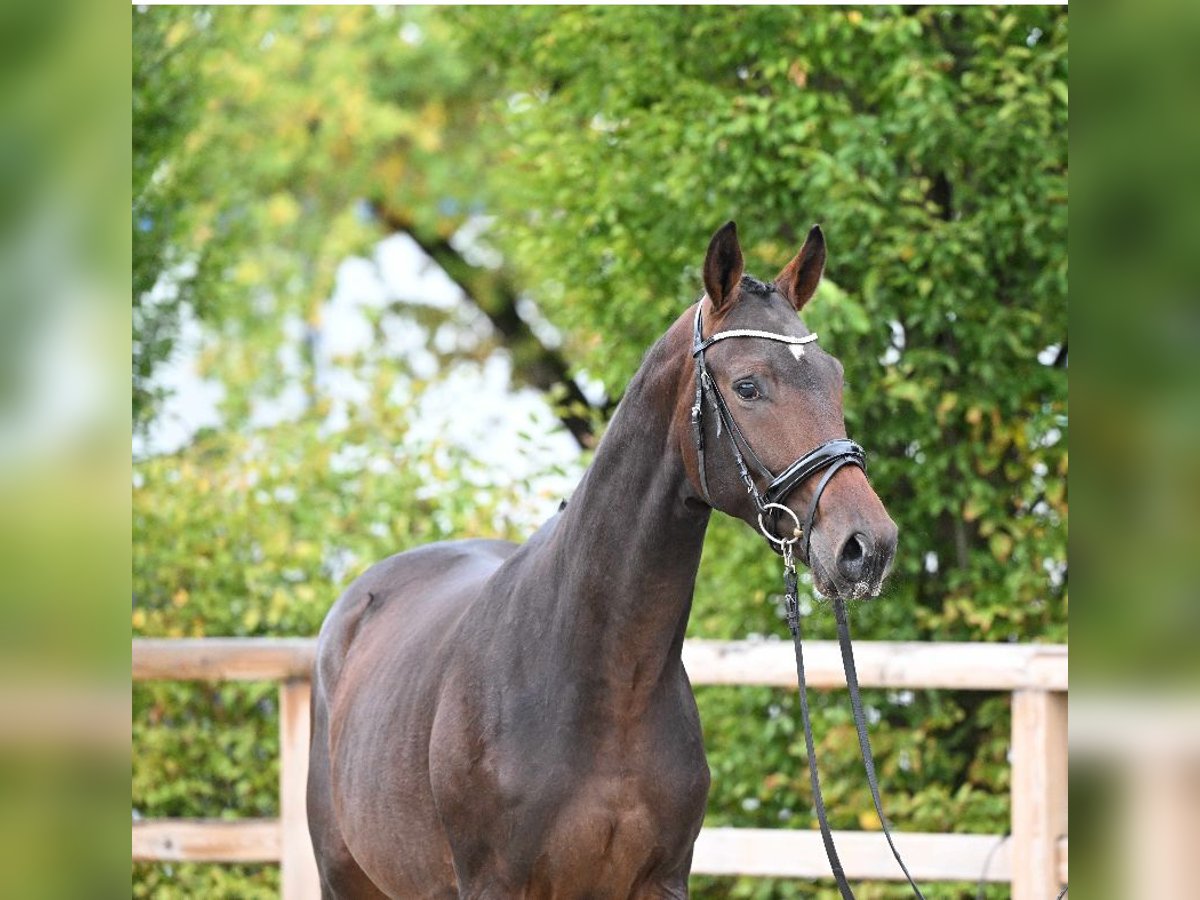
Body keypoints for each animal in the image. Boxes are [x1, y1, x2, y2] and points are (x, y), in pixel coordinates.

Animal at [307, 221, 898, 899]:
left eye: (836, 377)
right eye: (748, 386)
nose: (867, 545)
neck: (609, 684)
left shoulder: (662, 881)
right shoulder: (493, 885)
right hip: (344, 876)